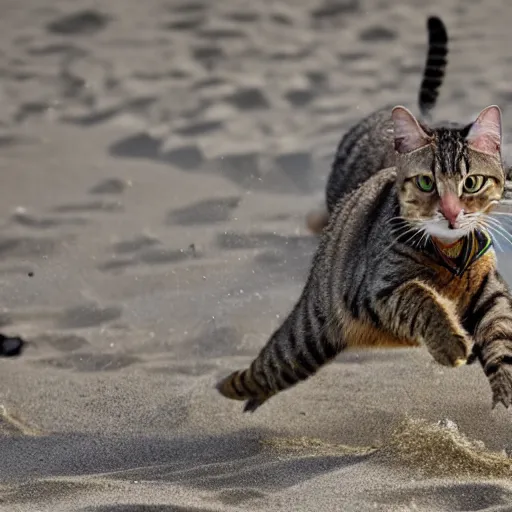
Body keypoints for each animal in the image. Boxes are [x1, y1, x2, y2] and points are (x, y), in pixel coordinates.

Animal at [216, 104, 512, 412]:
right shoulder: (377, 293)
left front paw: (504, 393)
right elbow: (421, 298)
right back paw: (225, 388)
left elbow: (500, 332)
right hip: (306, 338)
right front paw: (450, 344)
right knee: (270, 365)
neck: (449, 249)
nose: (451, 213)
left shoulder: (489, 289)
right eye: (426, 182)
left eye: (472, 183)